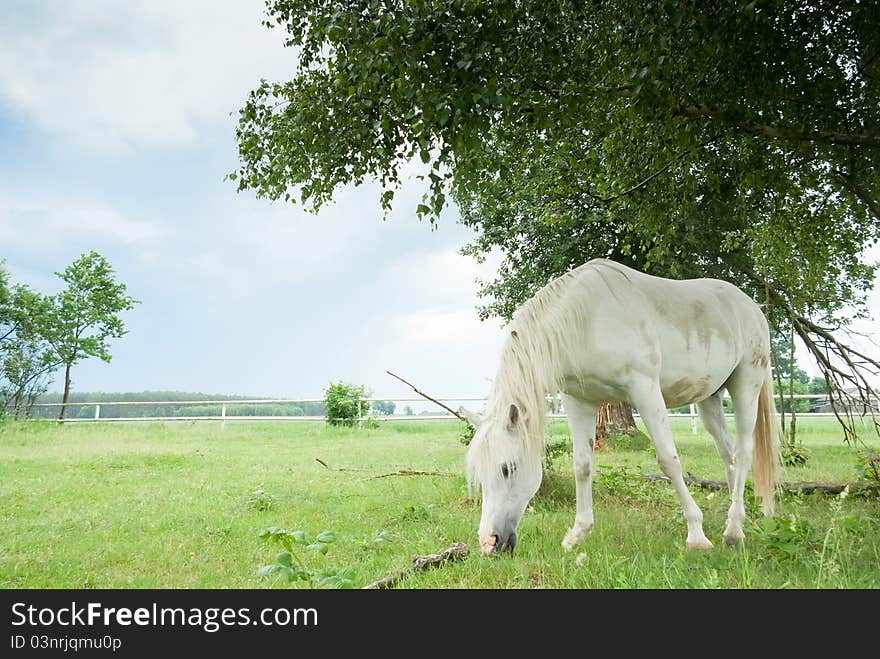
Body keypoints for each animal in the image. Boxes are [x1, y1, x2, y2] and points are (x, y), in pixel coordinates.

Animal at [460, 260, 776, 556]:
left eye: (508, 468)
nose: (489, 543)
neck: (586, 318)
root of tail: (751, 306)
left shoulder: (645, 389)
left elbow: (668, 459)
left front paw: (696, 534)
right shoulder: (579, 401)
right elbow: (582, 465)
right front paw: (577, 534)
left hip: (746, 384)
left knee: (743, 451)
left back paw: (733, 530)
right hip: (709, 399)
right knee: (728, 453)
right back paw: (738, 519)